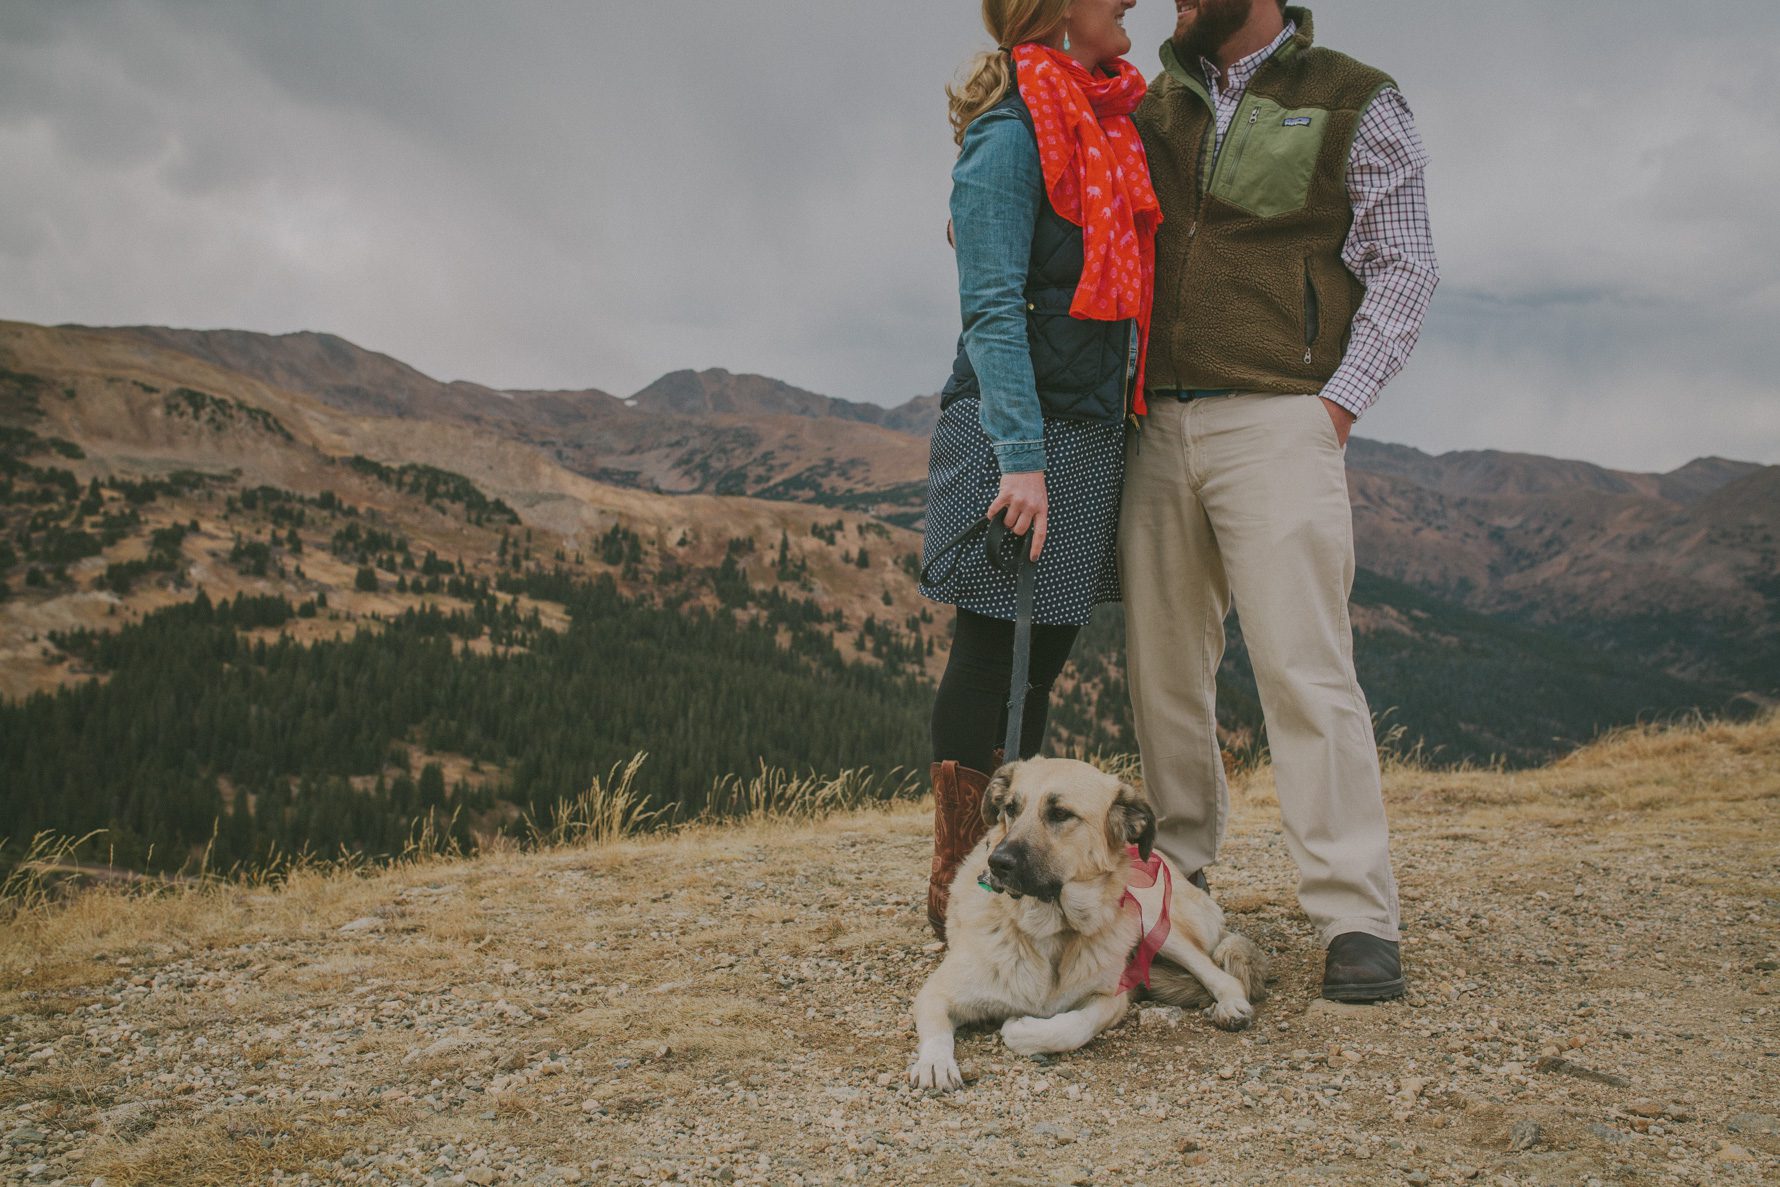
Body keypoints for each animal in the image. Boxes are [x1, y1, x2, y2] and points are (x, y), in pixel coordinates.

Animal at [911, 758, 1274, 1089]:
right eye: (1011, 809)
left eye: (1060, 814)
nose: (996, 863)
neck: (1050, 932)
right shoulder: (937, 992)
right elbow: (937, 1030)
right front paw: (935, 1063)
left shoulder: (1111, 998)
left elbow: (1073, 1026)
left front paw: (1022, 1028)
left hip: (1153, 921)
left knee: (1220, 974)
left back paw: (1231, 1005)